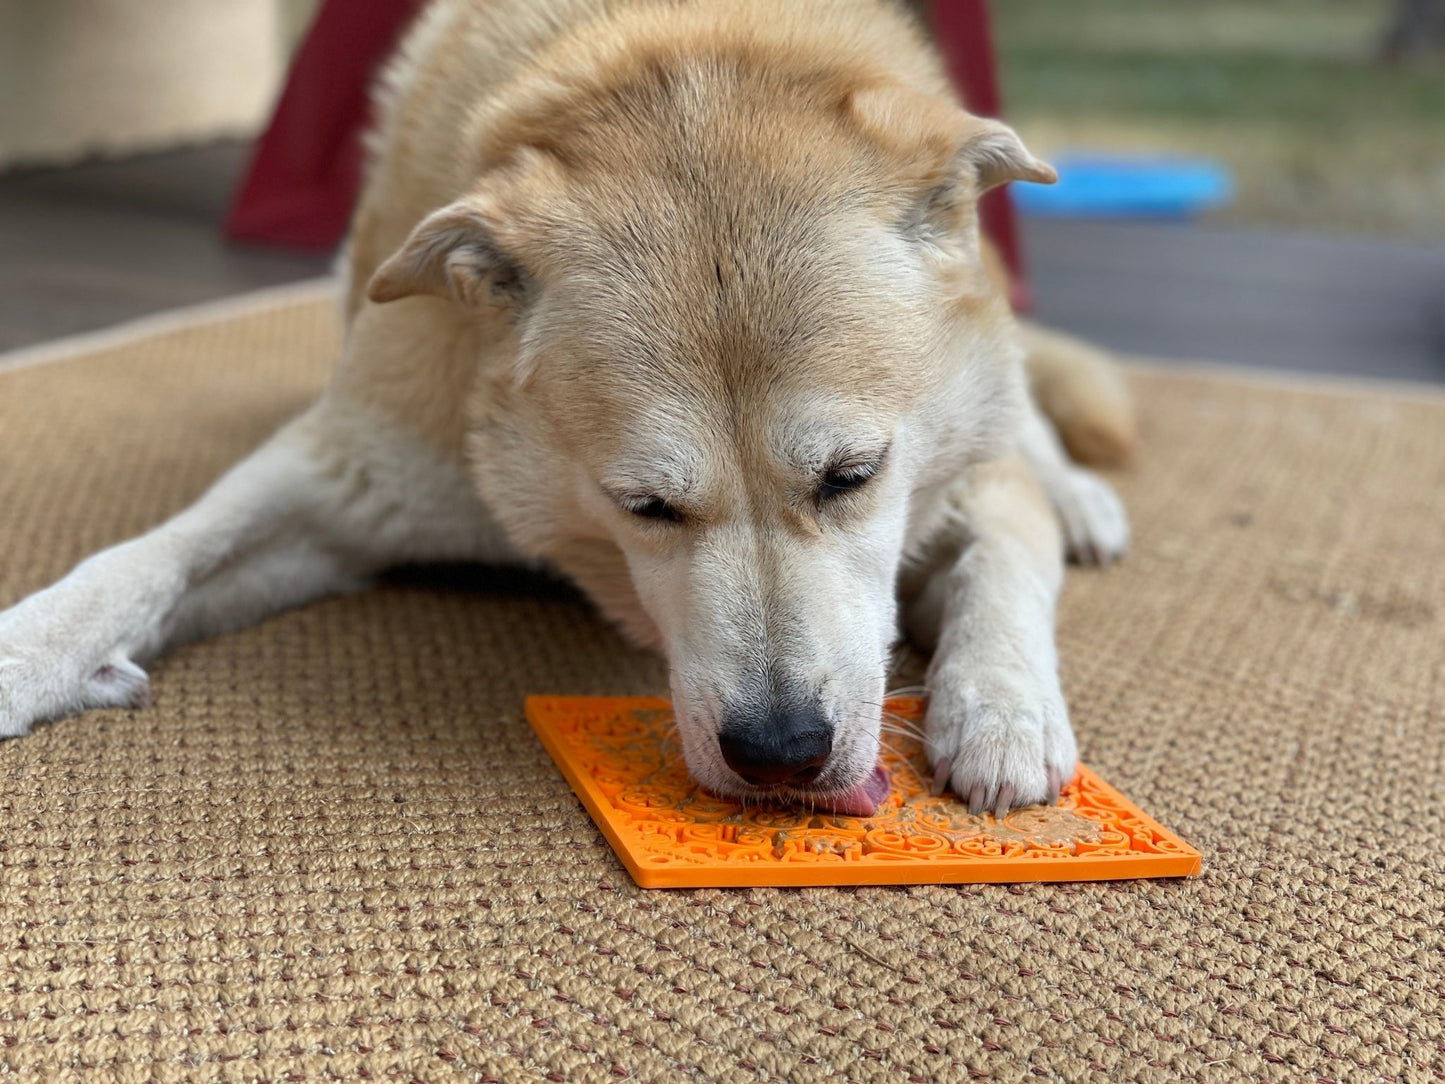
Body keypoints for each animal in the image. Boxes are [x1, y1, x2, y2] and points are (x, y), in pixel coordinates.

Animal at [0, 0, 1132, 815]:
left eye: (850, 477)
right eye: (645, 507)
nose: (778, 754)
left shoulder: (955, 471)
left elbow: (1002, 549)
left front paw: (1000, 708)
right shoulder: (353, 475)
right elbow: (150, 558)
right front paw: (32, 652)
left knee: (1030, 431)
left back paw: (1080, 497)